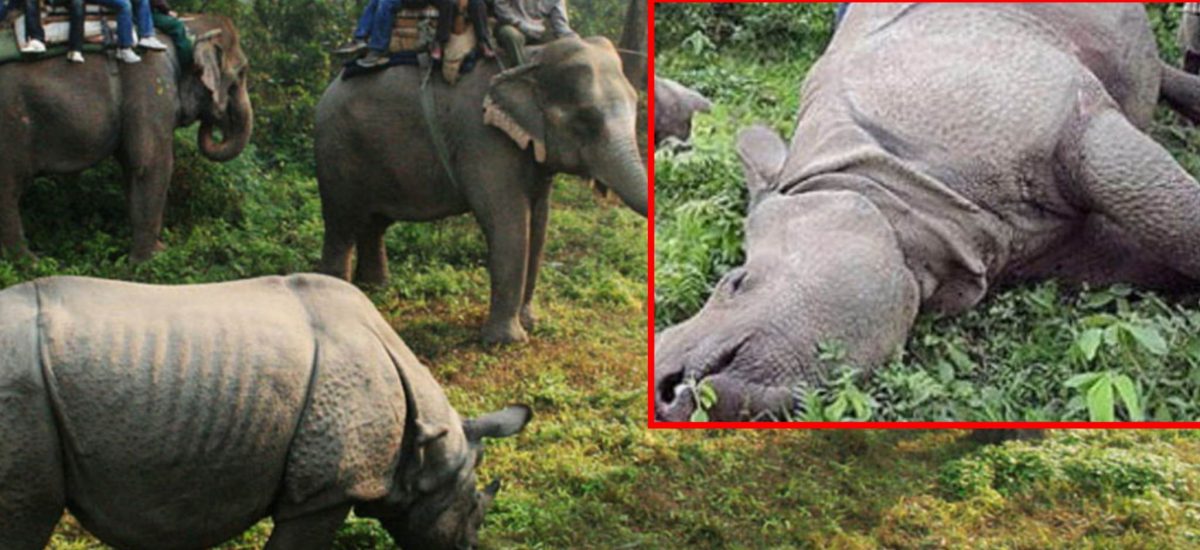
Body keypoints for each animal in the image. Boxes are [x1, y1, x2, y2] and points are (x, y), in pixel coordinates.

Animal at [0, 274, 531, 549]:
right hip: (19, 391)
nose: (468, 546)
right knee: (26, 510)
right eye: (471, 510)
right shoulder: (325, 490)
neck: (425, 439)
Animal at [655, 3, 1200, 421]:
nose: (664, 387)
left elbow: (1179, 223)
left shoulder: (1071, 120)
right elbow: (1162, 247)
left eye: (736, 282)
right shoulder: (1049, 242)